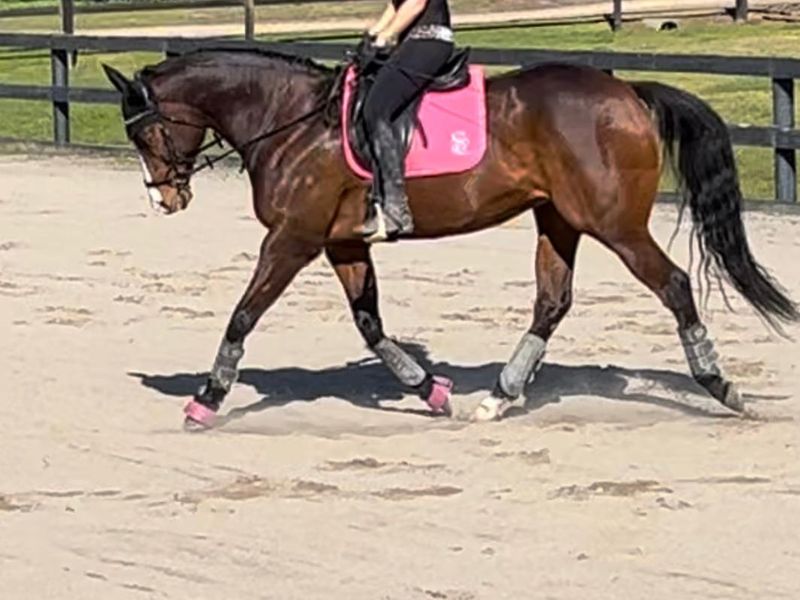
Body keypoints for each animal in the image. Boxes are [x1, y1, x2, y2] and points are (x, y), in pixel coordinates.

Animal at [102, 46, 798, 430]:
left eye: (145, 132)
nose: (165, 197)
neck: (290, 120)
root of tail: (626, 90)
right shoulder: (343, 243)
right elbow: (371, 325)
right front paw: (430, 391)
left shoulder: (293, 239)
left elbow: (243, 315)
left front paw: (206, 400)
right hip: (559, 219)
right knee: (552, 301)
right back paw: (498, 398)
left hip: (615, 225)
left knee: (673, 285)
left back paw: (723, 387)